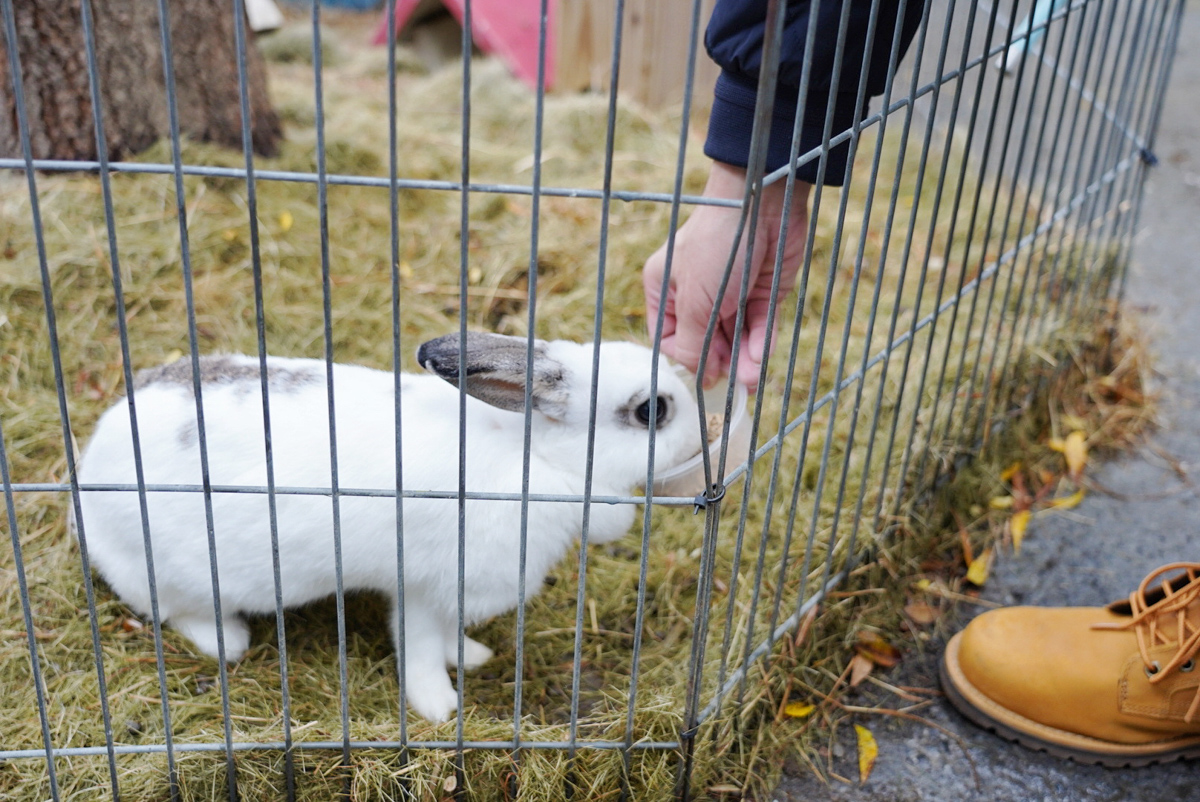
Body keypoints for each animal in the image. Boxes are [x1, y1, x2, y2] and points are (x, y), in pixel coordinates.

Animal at [75, 331, 700, 720]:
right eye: (652, 410)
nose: (702, 431)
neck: (536, 457)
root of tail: (90, 472)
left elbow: (447, 637)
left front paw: (470, 657)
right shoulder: (423, 587)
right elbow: (419, 647)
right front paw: (440, 707)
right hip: (174, 573)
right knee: (176, 611)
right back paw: (227, 639)